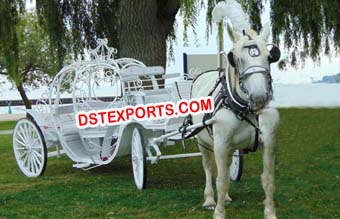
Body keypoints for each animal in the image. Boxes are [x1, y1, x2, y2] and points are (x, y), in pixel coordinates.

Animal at [191, 1, 282, 219]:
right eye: (235, 58)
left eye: (271, 56)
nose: (259, 97)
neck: (243, 108)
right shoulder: (221, 144)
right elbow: (221, 180)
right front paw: (218, 212)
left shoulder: (269, 142)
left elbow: (268, 179)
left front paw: (270, 212)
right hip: (203, 141)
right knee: (208, 167)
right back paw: (210, 199)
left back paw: (226, 198)